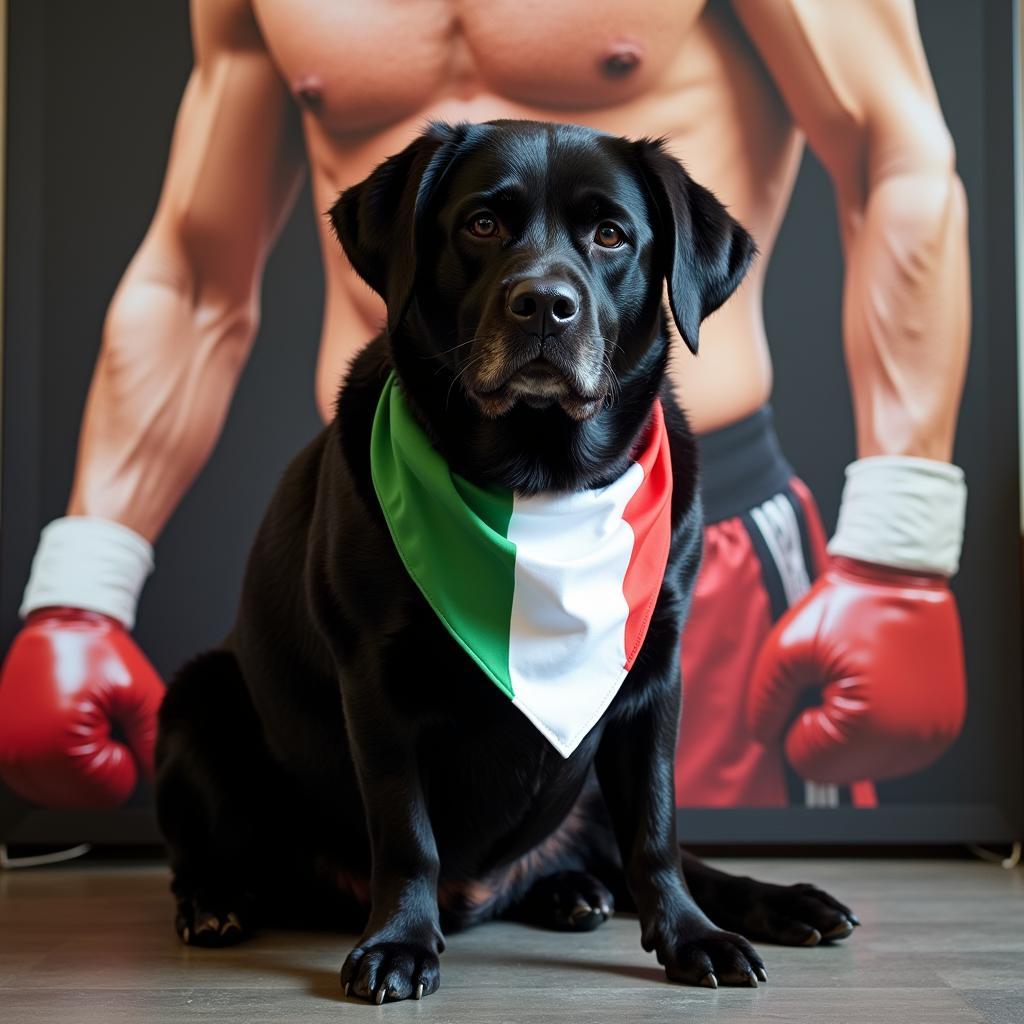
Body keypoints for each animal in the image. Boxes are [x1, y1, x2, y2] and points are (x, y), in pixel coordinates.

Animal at [153, 117, 856, 999]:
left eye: (610, 234)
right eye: (482, 224)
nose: (545, 305)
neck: (540, 482)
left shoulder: (653, 669)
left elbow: (658, 831)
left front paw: (694, 936)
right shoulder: (375, 675)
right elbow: (406, 832)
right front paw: (398, 943)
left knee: (633, 852)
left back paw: (736, 899)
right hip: (196, 699)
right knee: (202, 854)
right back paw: (216, 902)